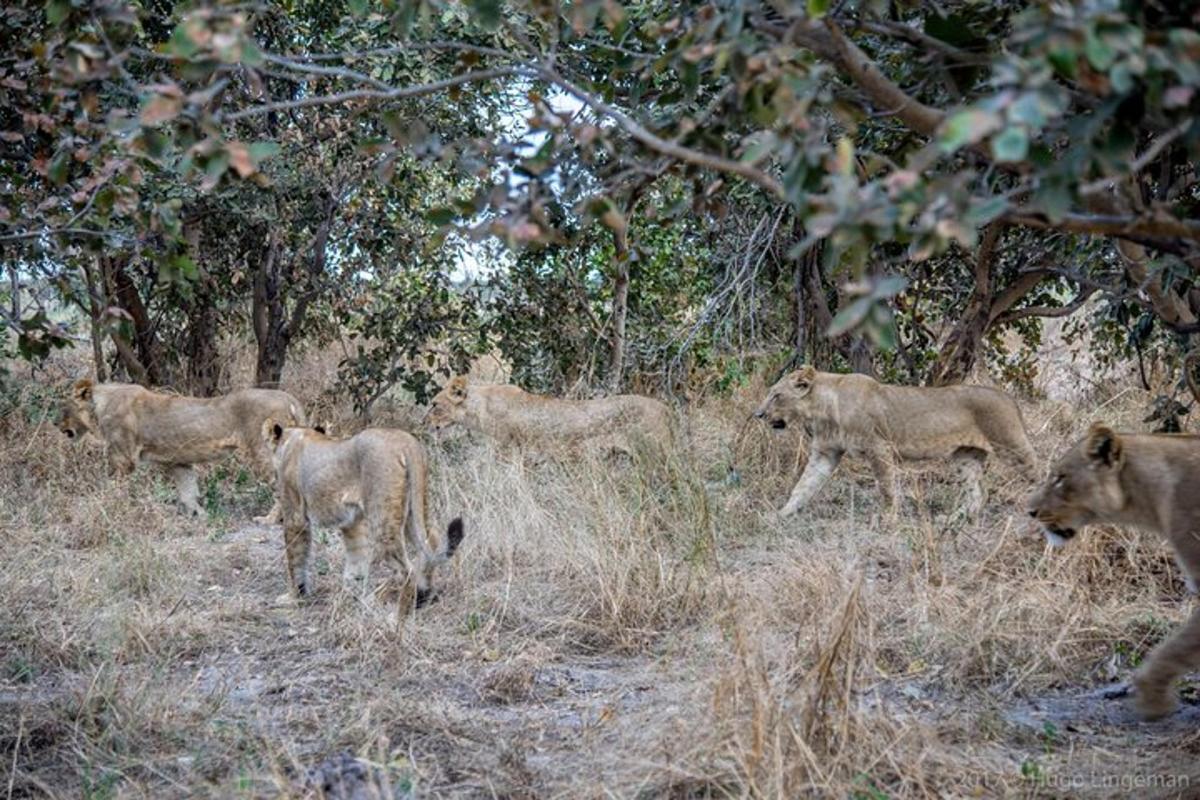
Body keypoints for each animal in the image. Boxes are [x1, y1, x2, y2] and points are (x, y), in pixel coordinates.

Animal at [59, 381, 307, 522]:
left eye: (63, 408)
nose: (56, 426)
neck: (101, 404)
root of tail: (289, 397)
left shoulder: (122, 459)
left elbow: (113, 488)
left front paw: (110, 508)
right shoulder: (179, 462)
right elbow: (188, 491)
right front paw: (201, 516)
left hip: (261, 450)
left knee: (281, 486)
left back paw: (269, 520)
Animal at [265, 419, 465, 614]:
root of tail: (406, 441)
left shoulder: (295, 516)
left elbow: (295, 557)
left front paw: (293, 597)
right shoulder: (353, 522)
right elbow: (356, 559)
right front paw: (350, 596)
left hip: (384, 519)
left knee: (406, 571)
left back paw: (397, 615)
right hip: (415, 507)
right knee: (431, 542)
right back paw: (425, 596)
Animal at [753, 367, 1036, 515]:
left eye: (776, 395)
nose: (759, 414)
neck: (822, 409)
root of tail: (1008, 397)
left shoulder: (879, 448)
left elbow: (887, 488)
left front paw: (889, 520)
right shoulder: (825, 453)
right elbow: (803, 486)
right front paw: (781, 515)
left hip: (1012, 446)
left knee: (1038, 472)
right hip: (965, 456)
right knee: (978, 493)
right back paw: (954, 521)